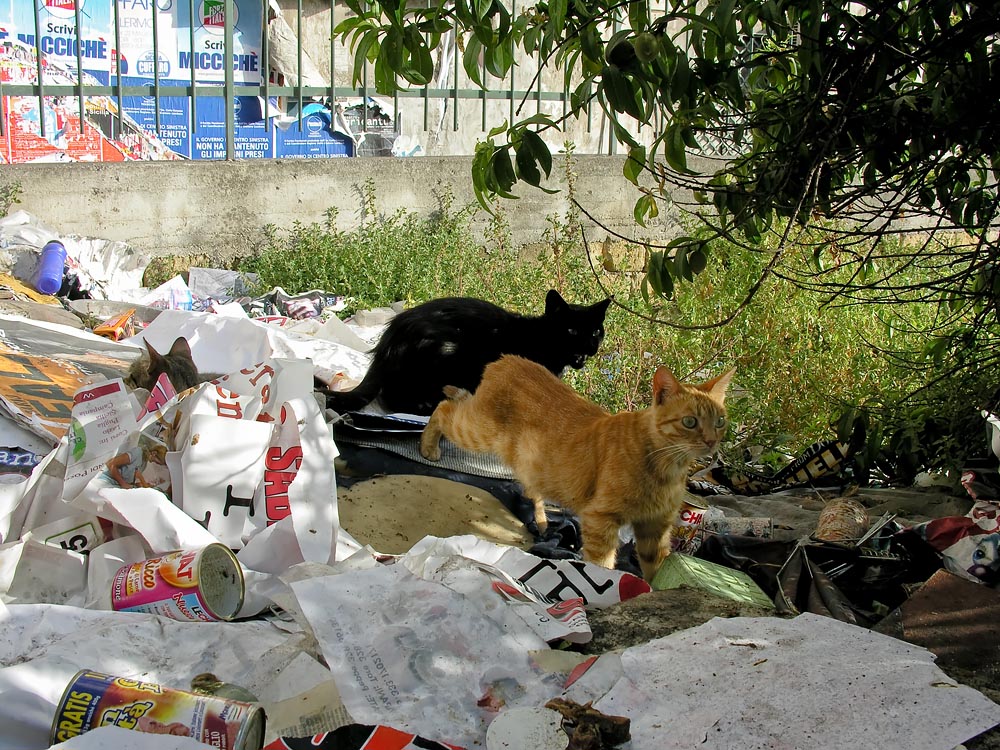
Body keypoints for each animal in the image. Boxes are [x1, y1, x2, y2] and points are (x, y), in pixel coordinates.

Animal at [324, 290, 612, 418]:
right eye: (571, 330)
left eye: (596, 331)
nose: (589, 347)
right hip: (446, 351)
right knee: (394, 397)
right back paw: (427, 408)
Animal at [418, 356, 740, 580]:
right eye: (690, 422)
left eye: (720, 421)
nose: (711, 441)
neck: (665, 467)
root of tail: (506, 359)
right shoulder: (600, 520)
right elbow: (602, 565)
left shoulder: (655, 528)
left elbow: (656, 569)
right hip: (476, 431)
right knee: (443, 408)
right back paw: (428, 447)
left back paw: (543, 523)